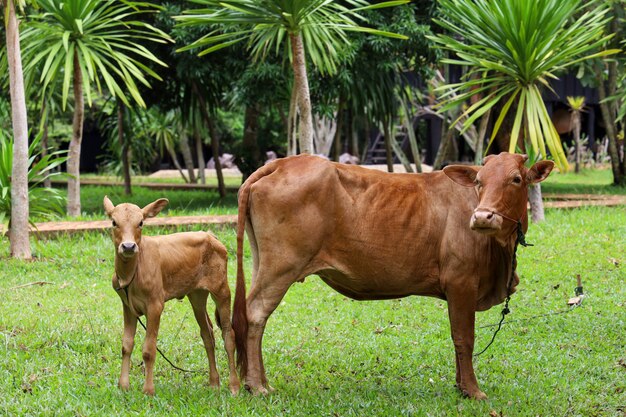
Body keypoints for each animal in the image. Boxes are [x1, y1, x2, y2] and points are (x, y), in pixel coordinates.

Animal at [102, 197, 239, 394]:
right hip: (197, 295)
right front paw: (123, 385)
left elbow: (149, 349)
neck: (132, 272)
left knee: (228, 335)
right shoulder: (127, 306)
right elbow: (126, 345)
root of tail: (210, 235)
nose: (128, 246)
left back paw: (234, 386)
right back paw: (214, 382)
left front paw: (148, 390)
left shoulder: (155, 305)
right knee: (208, 334)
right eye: (114, 222)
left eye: (141, 222)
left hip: (221, 290)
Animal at [233, 152, 552, 396]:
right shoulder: (461, 282)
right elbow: (465, 338)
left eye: (516, 179)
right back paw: (257, 387)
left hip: (263, 263)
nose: (483, 217)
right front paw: (473, 391)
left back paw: (261, 383)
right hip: (281, 267)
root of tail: (281, 163)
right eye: (478, 181)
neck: (501, 251)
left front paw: (460, 386)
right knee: (255, 314)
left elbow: (456, 338)